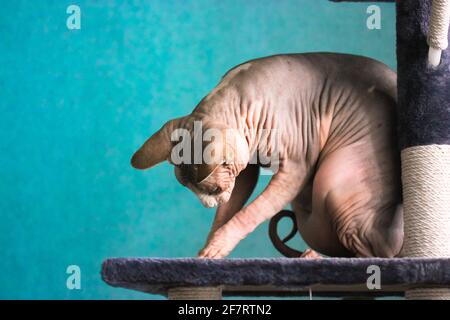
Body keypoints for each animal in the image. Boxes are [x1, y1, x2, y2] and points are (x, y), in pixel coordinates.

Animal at [131, 52, 404, 258]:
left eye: (213, 190)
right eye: (190, 190)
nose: (209, 205)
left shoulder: (295, 169)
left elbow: (248, 214)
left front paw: (217, 245)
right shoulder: (244, 170)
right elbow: (228, 211)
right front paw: (209, 249)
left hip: (337, 183)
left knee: (373, 251)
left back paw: (319, 259)